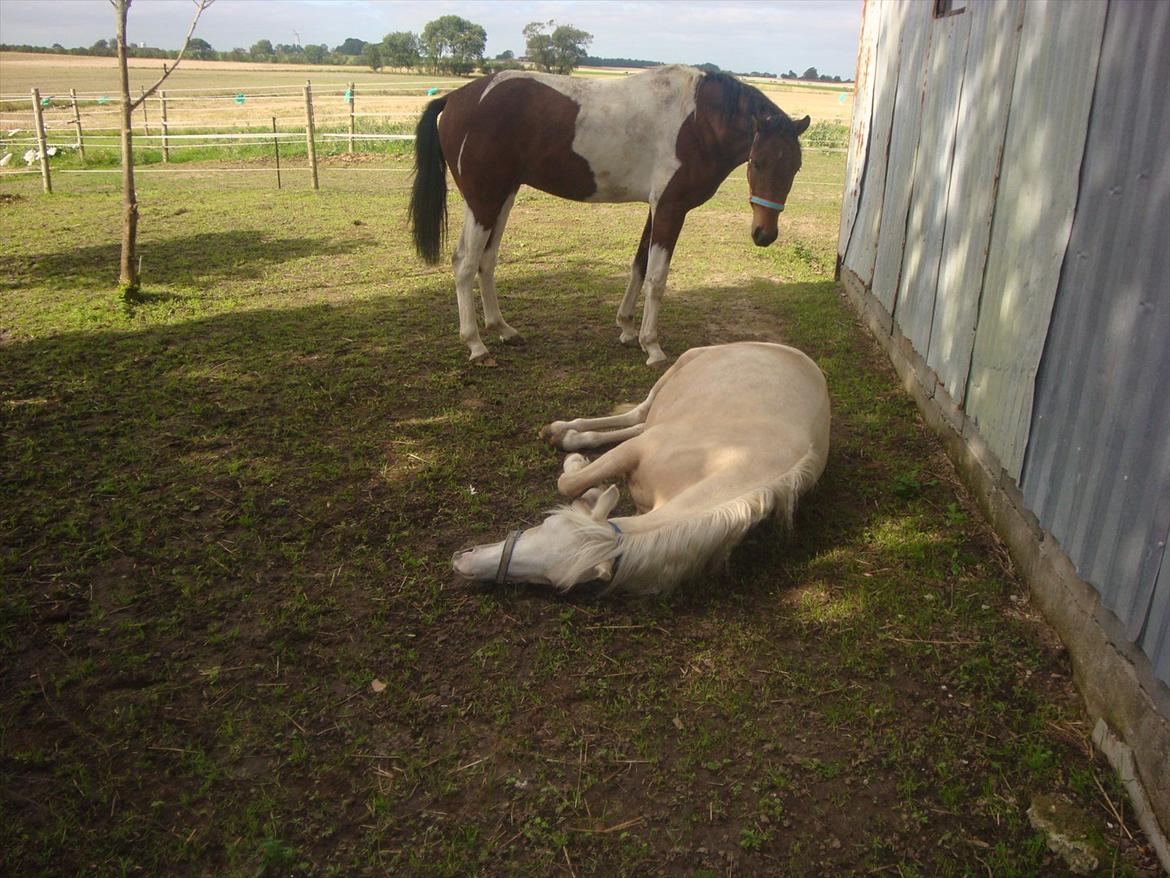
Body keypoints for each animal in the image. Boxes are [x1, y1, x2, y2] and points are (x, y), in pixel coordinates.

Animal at [414, 63, 814, 362]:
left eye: (795, 167)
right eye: (758, 162)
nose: (765, 234)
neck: (698, 121)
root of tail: (455, 98)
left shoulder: (656, 208)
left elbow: (638, 266)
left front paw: (626, 328)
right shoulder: (671, 209)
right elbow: (656, 279)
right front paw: (652, 346)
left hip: (503, 198)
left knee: (487, 261)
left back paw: (503, 330)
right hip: (483, 200)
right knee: (465, 262)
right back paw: (475, 344)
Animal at [451, 344, 828, 599]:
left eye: (552, 581)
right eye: (546, 524)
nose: (462, 563)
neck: (734, 461)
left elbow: (579, 488)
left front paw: (587, 485)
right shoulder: (638, 449)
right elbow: (570, 483)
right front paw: (578, 465)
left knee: (638, 421)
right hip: (678, 369)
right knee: (638, 414)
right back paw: (563, 432)